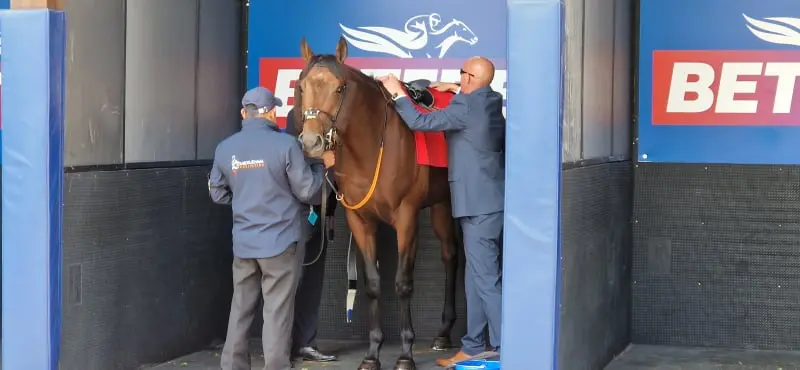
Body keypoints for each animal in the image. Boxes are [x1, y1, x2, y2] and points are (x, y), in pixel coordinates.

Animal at [292, 36, 456, 370]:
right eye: (301, 87)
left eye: (339, 88)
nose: (312, 142)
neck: (370, 148)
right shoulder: (360, 221)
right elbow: (372, 284)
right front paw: (372, 353)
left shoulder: (406, 218)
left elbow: (403, 282)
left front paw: (405, 353)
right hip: (439, 205)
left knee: (451, 257)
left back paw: (445, 332)